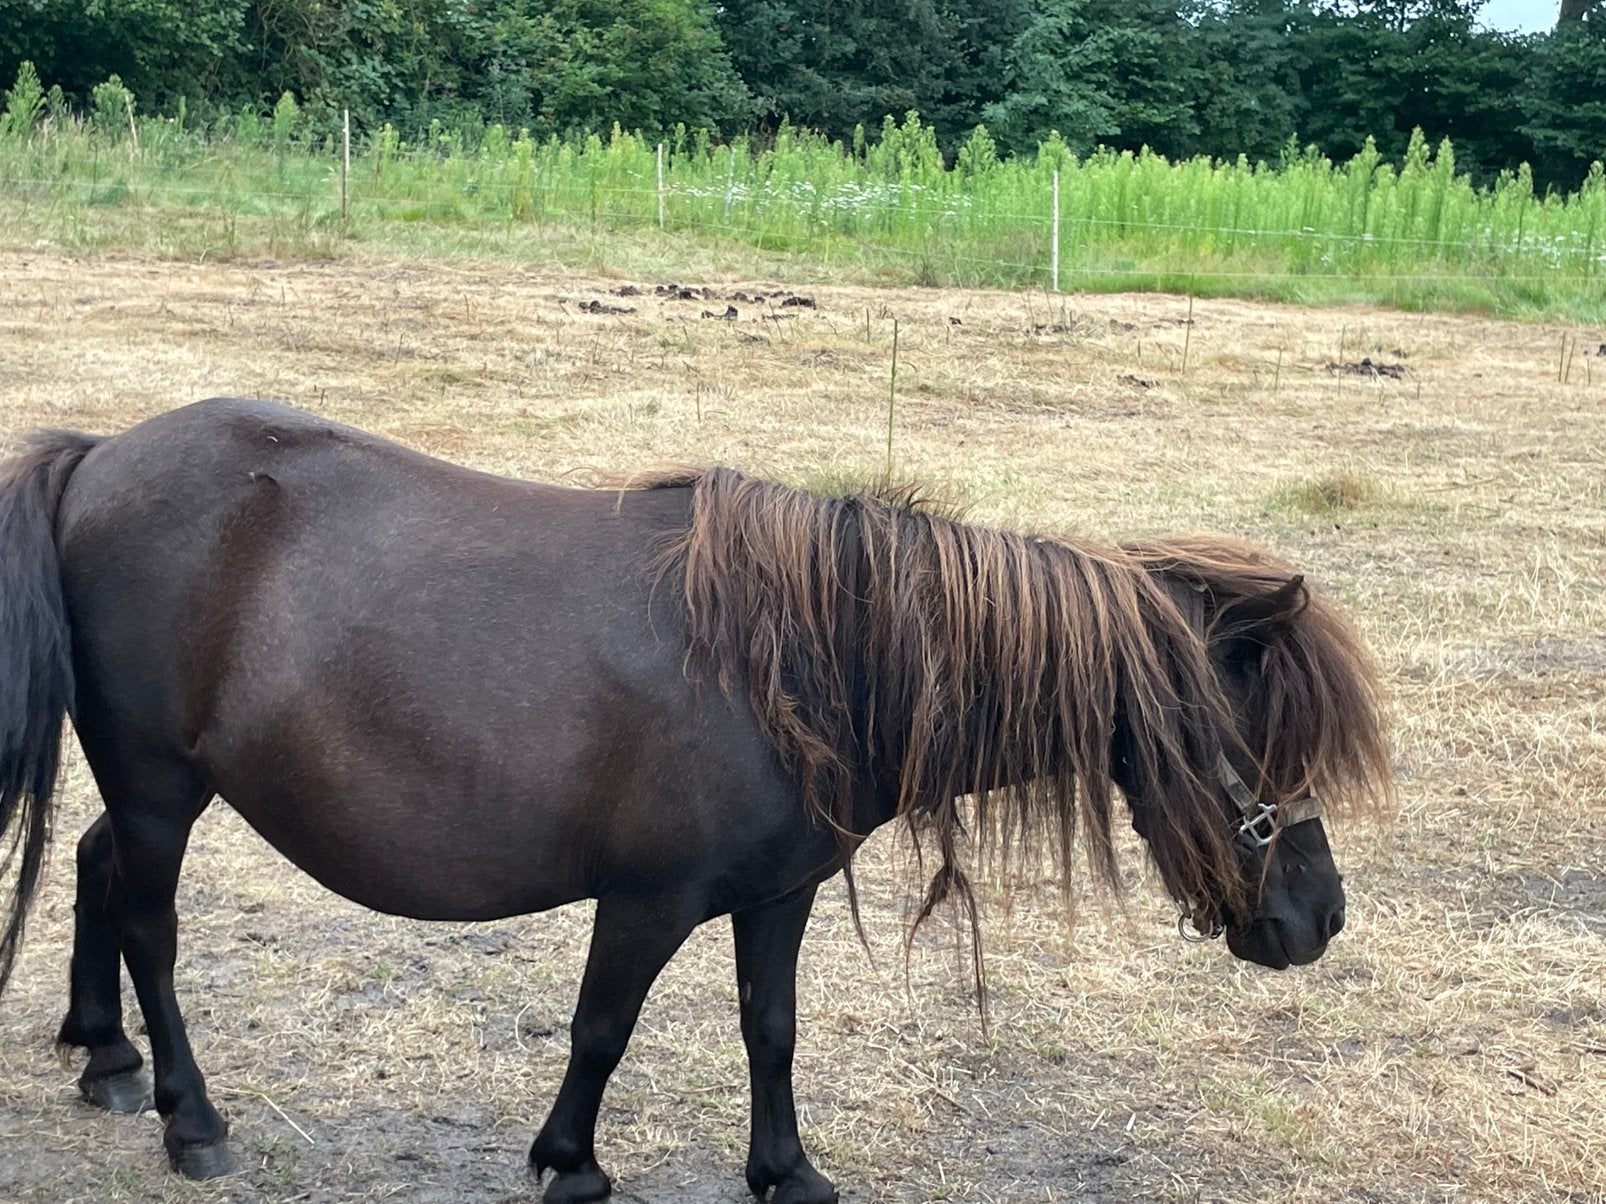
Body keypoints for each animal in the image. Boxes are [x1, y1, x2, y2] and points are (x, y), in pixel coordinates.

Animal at [0, 398, 1391, 1204]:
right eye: (1263, 740)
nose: (1317, 917)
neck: (814, 663)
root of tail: (98, 457)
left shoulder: (776, 894)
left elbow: (769, 1031)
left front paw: (789, 1173)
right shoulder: (647, 900)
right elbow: (600, 1031)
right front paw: (570, 1167)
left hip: (158, 790)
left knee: (93, 868)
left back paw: (105, 1056)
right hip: (165, 789)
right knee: (151, 927)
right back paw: (189, 1117)